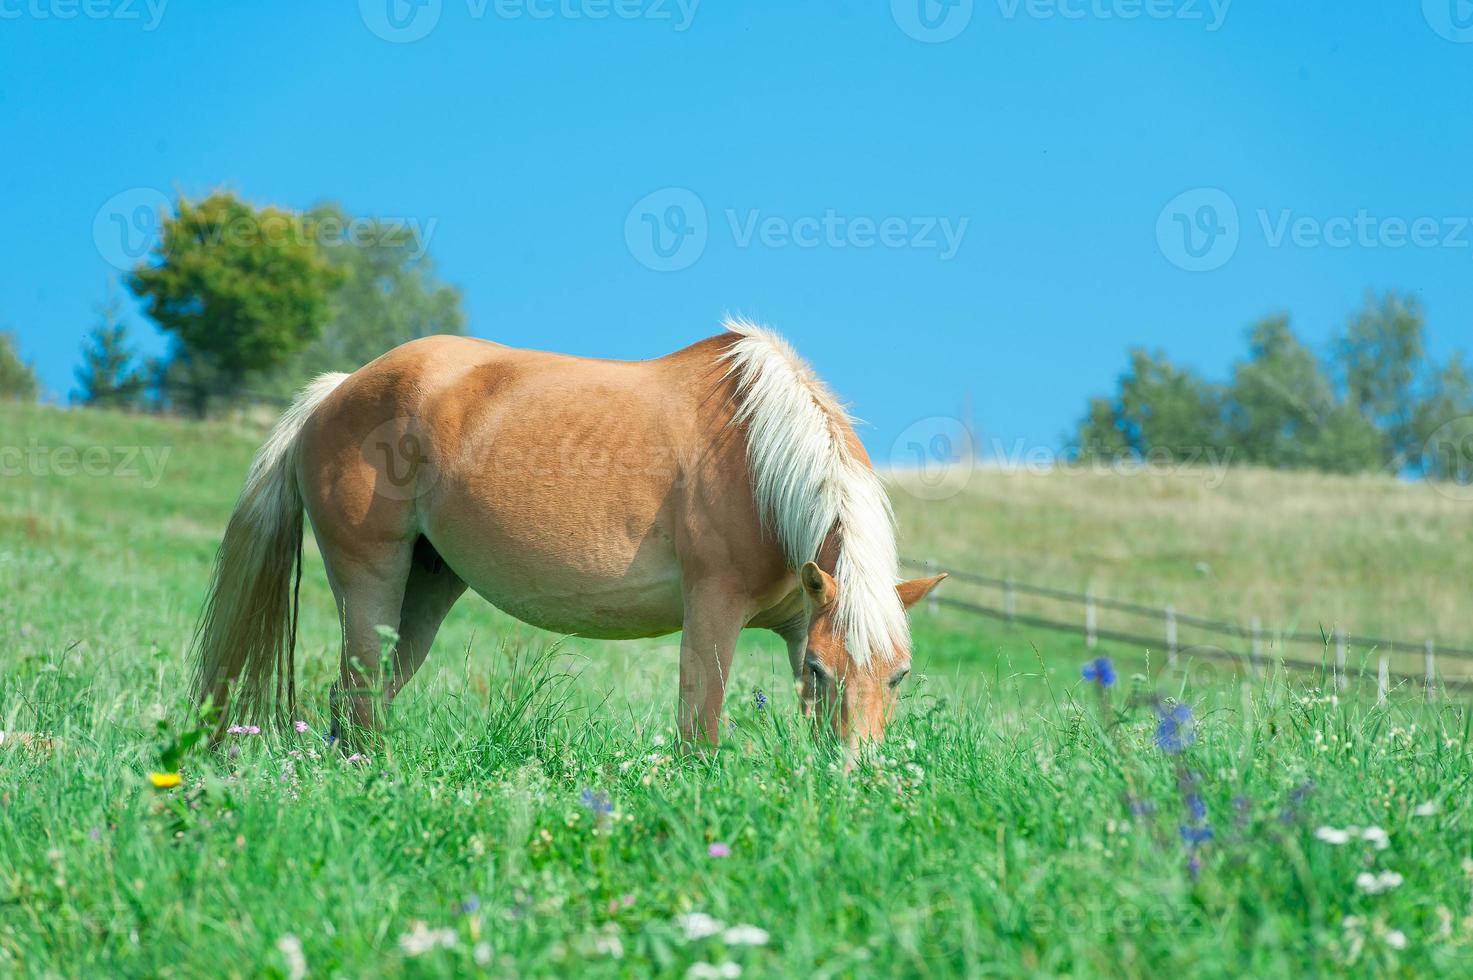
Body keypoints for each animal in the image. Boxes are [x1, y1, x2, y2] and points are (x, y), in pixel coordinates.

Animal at [190, 316, 942, 745]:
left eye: (899, 675)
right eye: (823, 670)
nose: (857, 776)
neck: (757, 456)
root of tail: (339, 389)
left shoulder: (798, 620)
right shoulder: (714, 612)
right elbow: (698, 728)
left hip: (427, 589)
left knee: (357, 699)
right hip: (369, 580)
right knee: (360, 694)